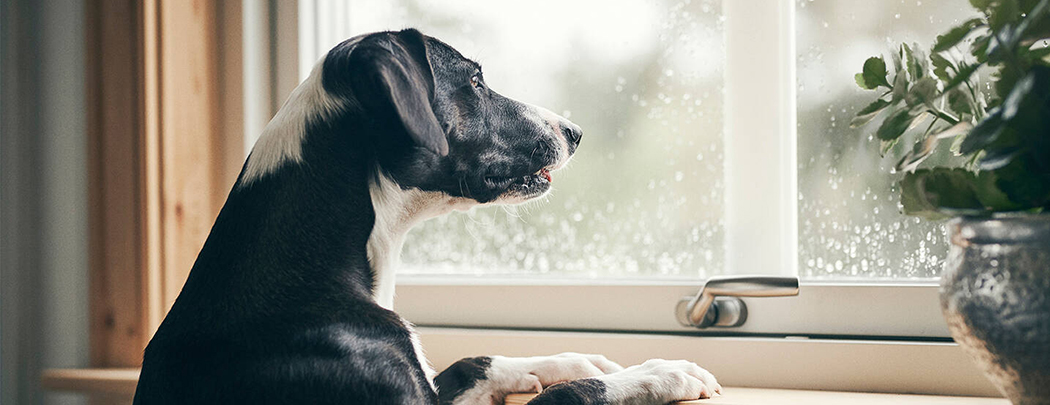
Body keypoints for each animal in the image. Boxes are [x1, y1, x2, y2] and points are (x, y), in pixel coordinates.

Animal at [133, 28, 722, 405]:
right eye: (476, 82)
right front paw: (660, 372)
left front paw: (564, 362)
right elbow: (570, 398)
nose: (574, 133)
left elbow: (472, 363)